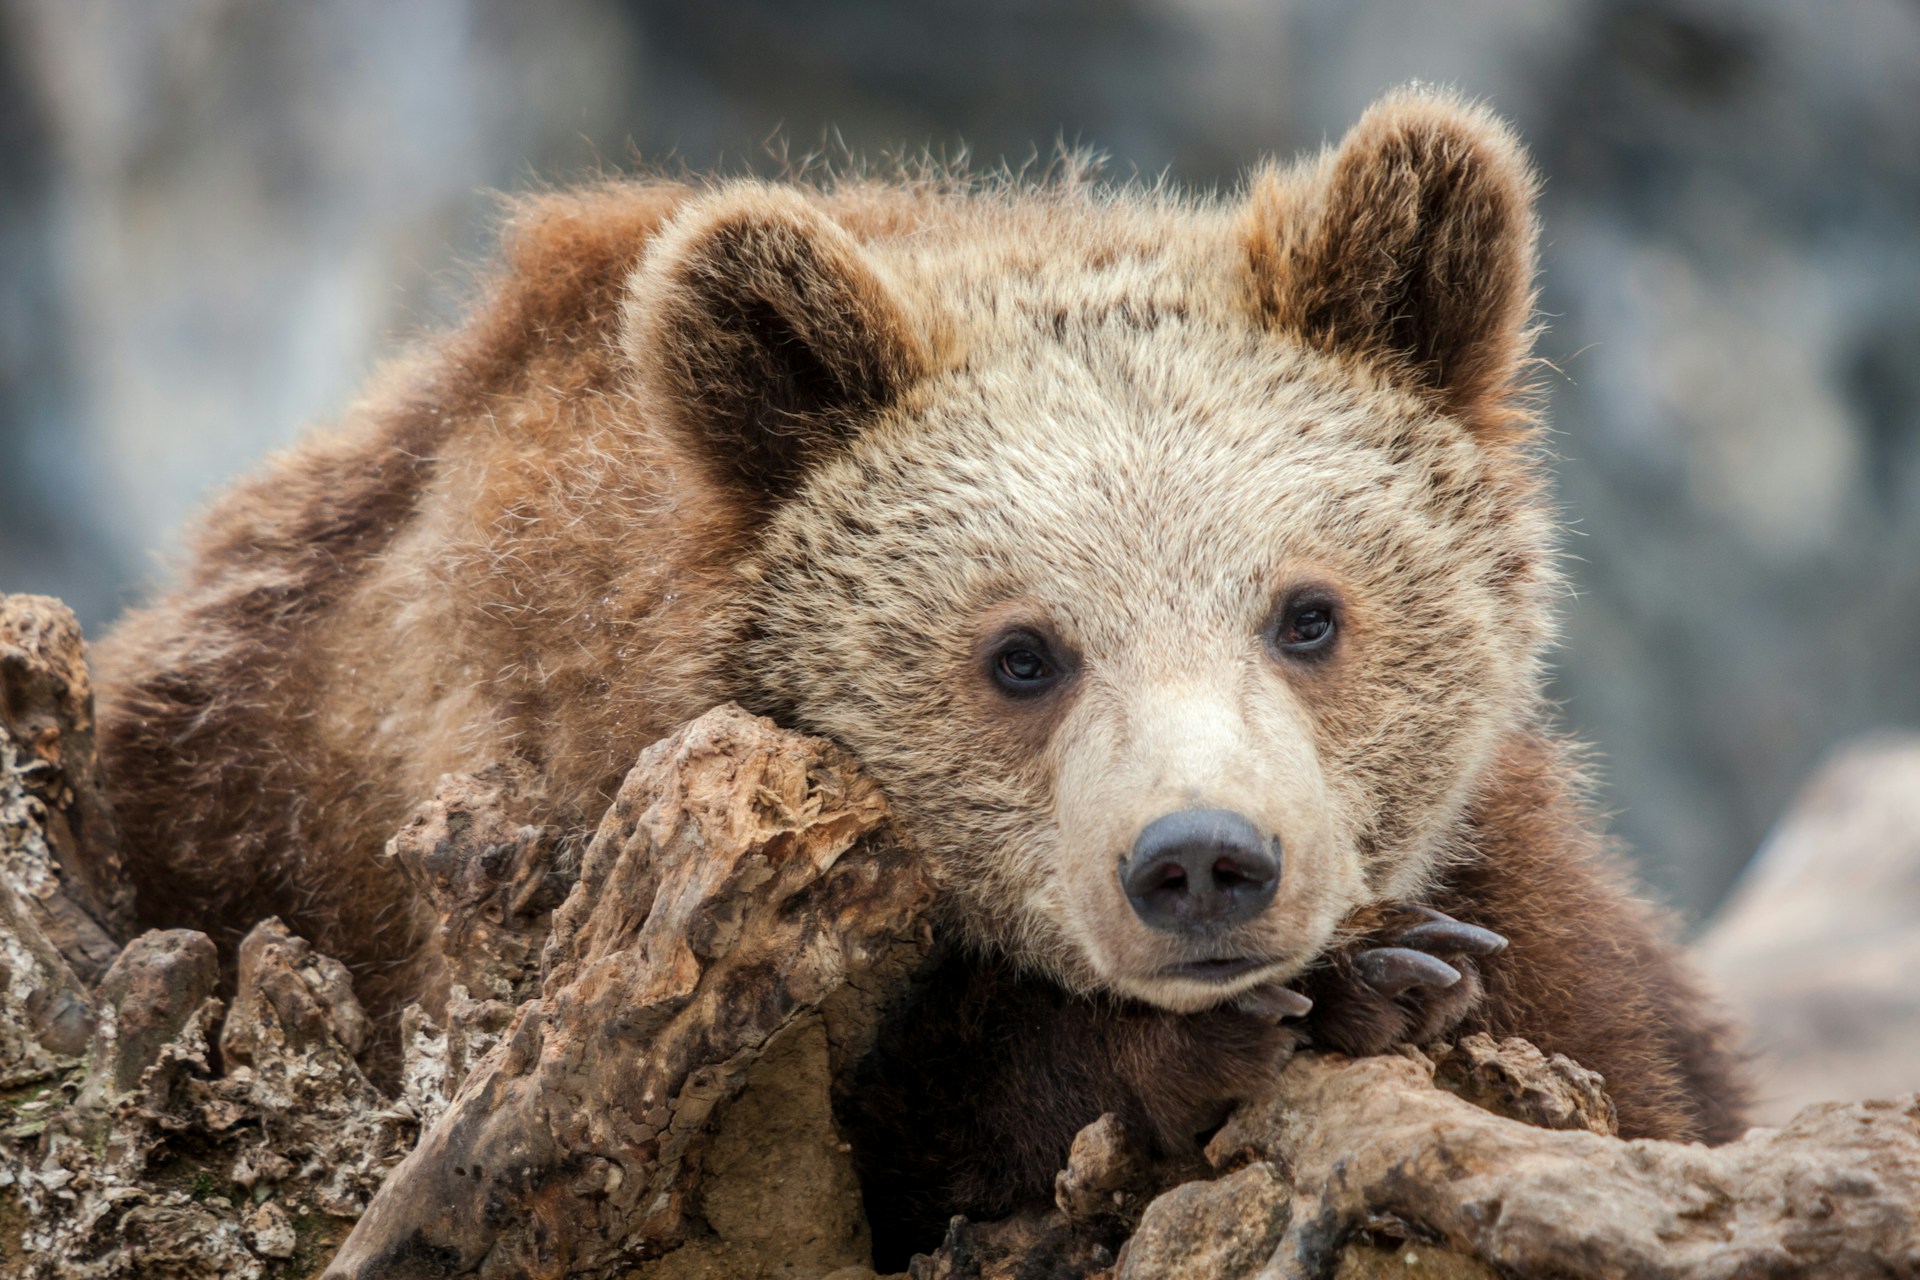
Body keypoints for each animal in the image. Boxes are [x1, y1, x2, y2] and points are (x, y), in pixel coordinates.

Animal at [93, 87, 1743, 1258]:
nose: (1203, 863)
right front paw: (1332, 990)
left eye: (1308, 614)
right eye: (1021, 654)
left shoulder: (1539, 895)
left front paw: (1389, 969)